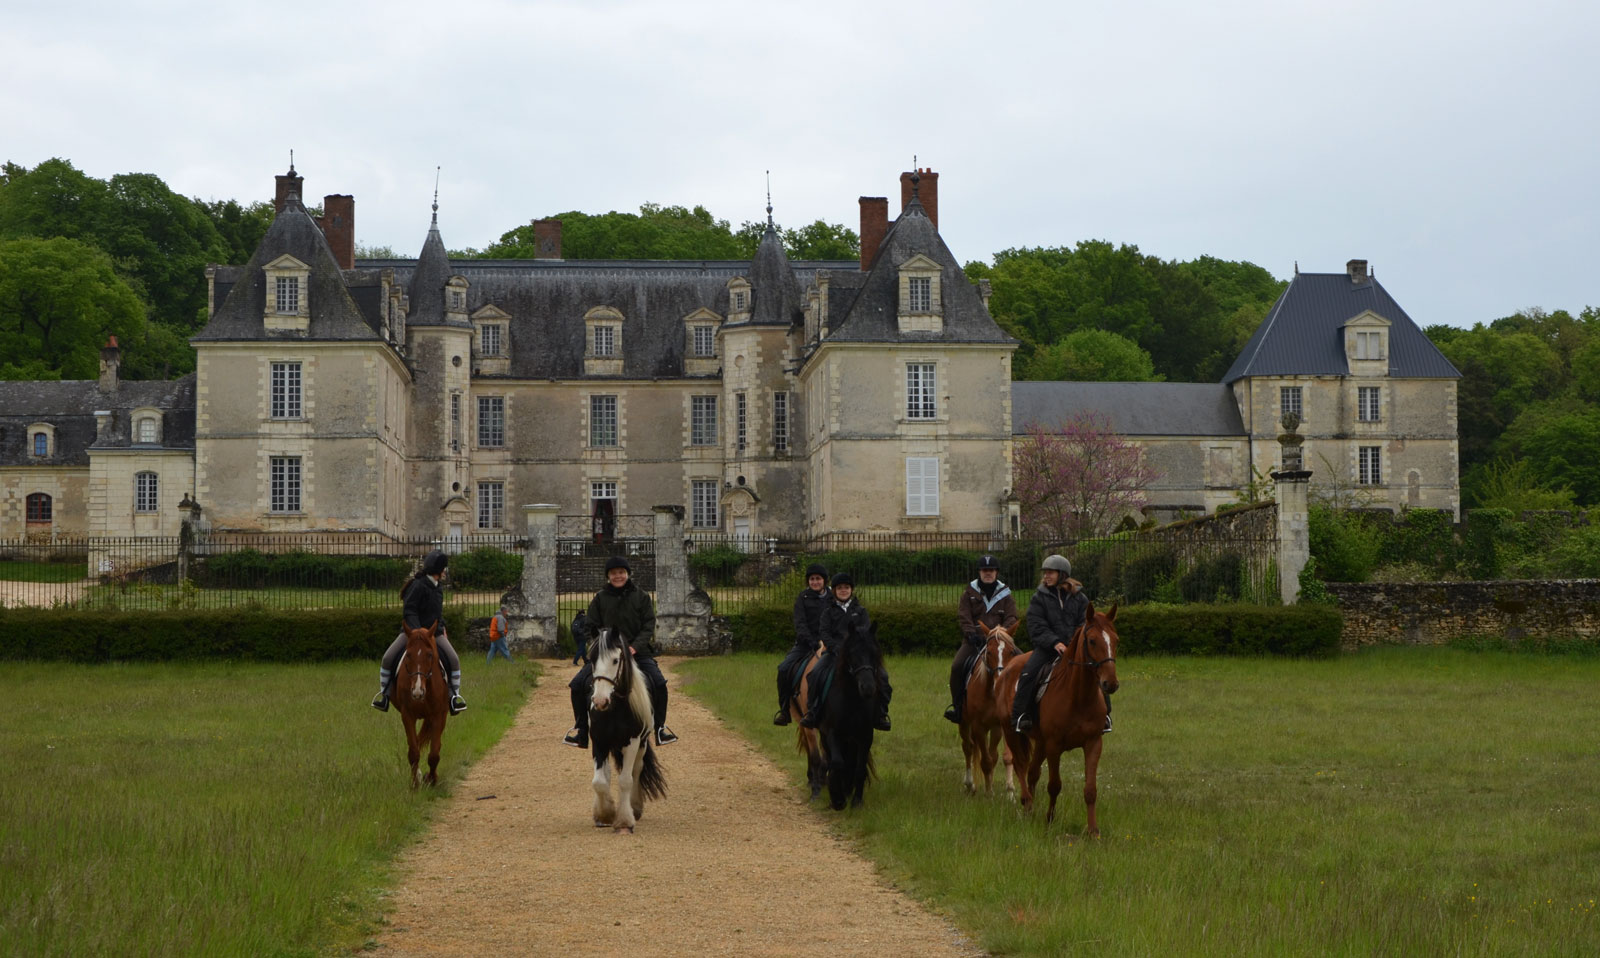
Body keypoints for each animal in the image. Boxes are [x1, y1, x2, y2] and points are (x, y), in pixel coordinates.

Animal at [395, 617, 451, 790]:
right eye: (408, 655)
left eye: (429, 654)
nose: (417, 691)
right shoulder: (407, 715)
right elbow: (413, 752)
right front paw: (415, 783)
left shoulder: (438, 715)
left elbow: (434, 754)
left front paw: (431, 779)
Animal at [585, 626, 665, 838]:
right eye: (592, 659)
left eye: (615, 660)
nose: (599, 701)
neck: (615, 708)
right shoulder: (599, 741)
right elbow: (599, 782)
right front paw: (605, 814)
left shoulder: (632, 741)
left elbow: (626, 780)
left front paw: (624, 822)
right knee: (607, 773)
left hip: (642, 744)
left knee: (637, 770)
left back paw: (635, 807)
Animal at [819, 623, 883, 809]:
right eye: (853, 653)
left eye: (874, 652)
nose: (868, 688)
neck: (852, 700)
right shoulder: (833, 733)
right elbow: (837, 762)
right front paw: (837, 798)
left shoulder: (865, 736)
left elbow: (859, 768)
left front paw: (856, 801)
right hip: (826, 735)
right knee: (833, 759)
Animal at [960, 623, 1024, 793]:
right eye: (988, 652)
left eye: (1011, 652)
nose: (1000, 680)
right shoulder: (978, 726)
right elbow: (986, 760)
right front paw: (989, 793)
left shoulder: (997, 726)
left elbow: (994, 757)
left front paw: (997, 788)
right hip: (964, 722)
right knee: (968, 747)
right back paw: (970, 784)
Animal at [992, 607, 1120, 838]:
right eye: (1092, 641)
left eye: (1116, 640)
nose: (1110, 683)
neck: (1079, 696)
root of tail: (1007, 668)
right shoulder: (1054, 745)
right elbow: (1054, 785)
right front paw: (1050, 819)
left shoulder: (1093, 743)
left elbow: (1090, 790)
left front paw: (1093, 830)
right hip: (1012, 732)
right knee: (1021, 766)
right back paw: (1026, 803)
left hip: (1040, 742)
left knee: (1032, 772)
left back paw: (1031, 807)